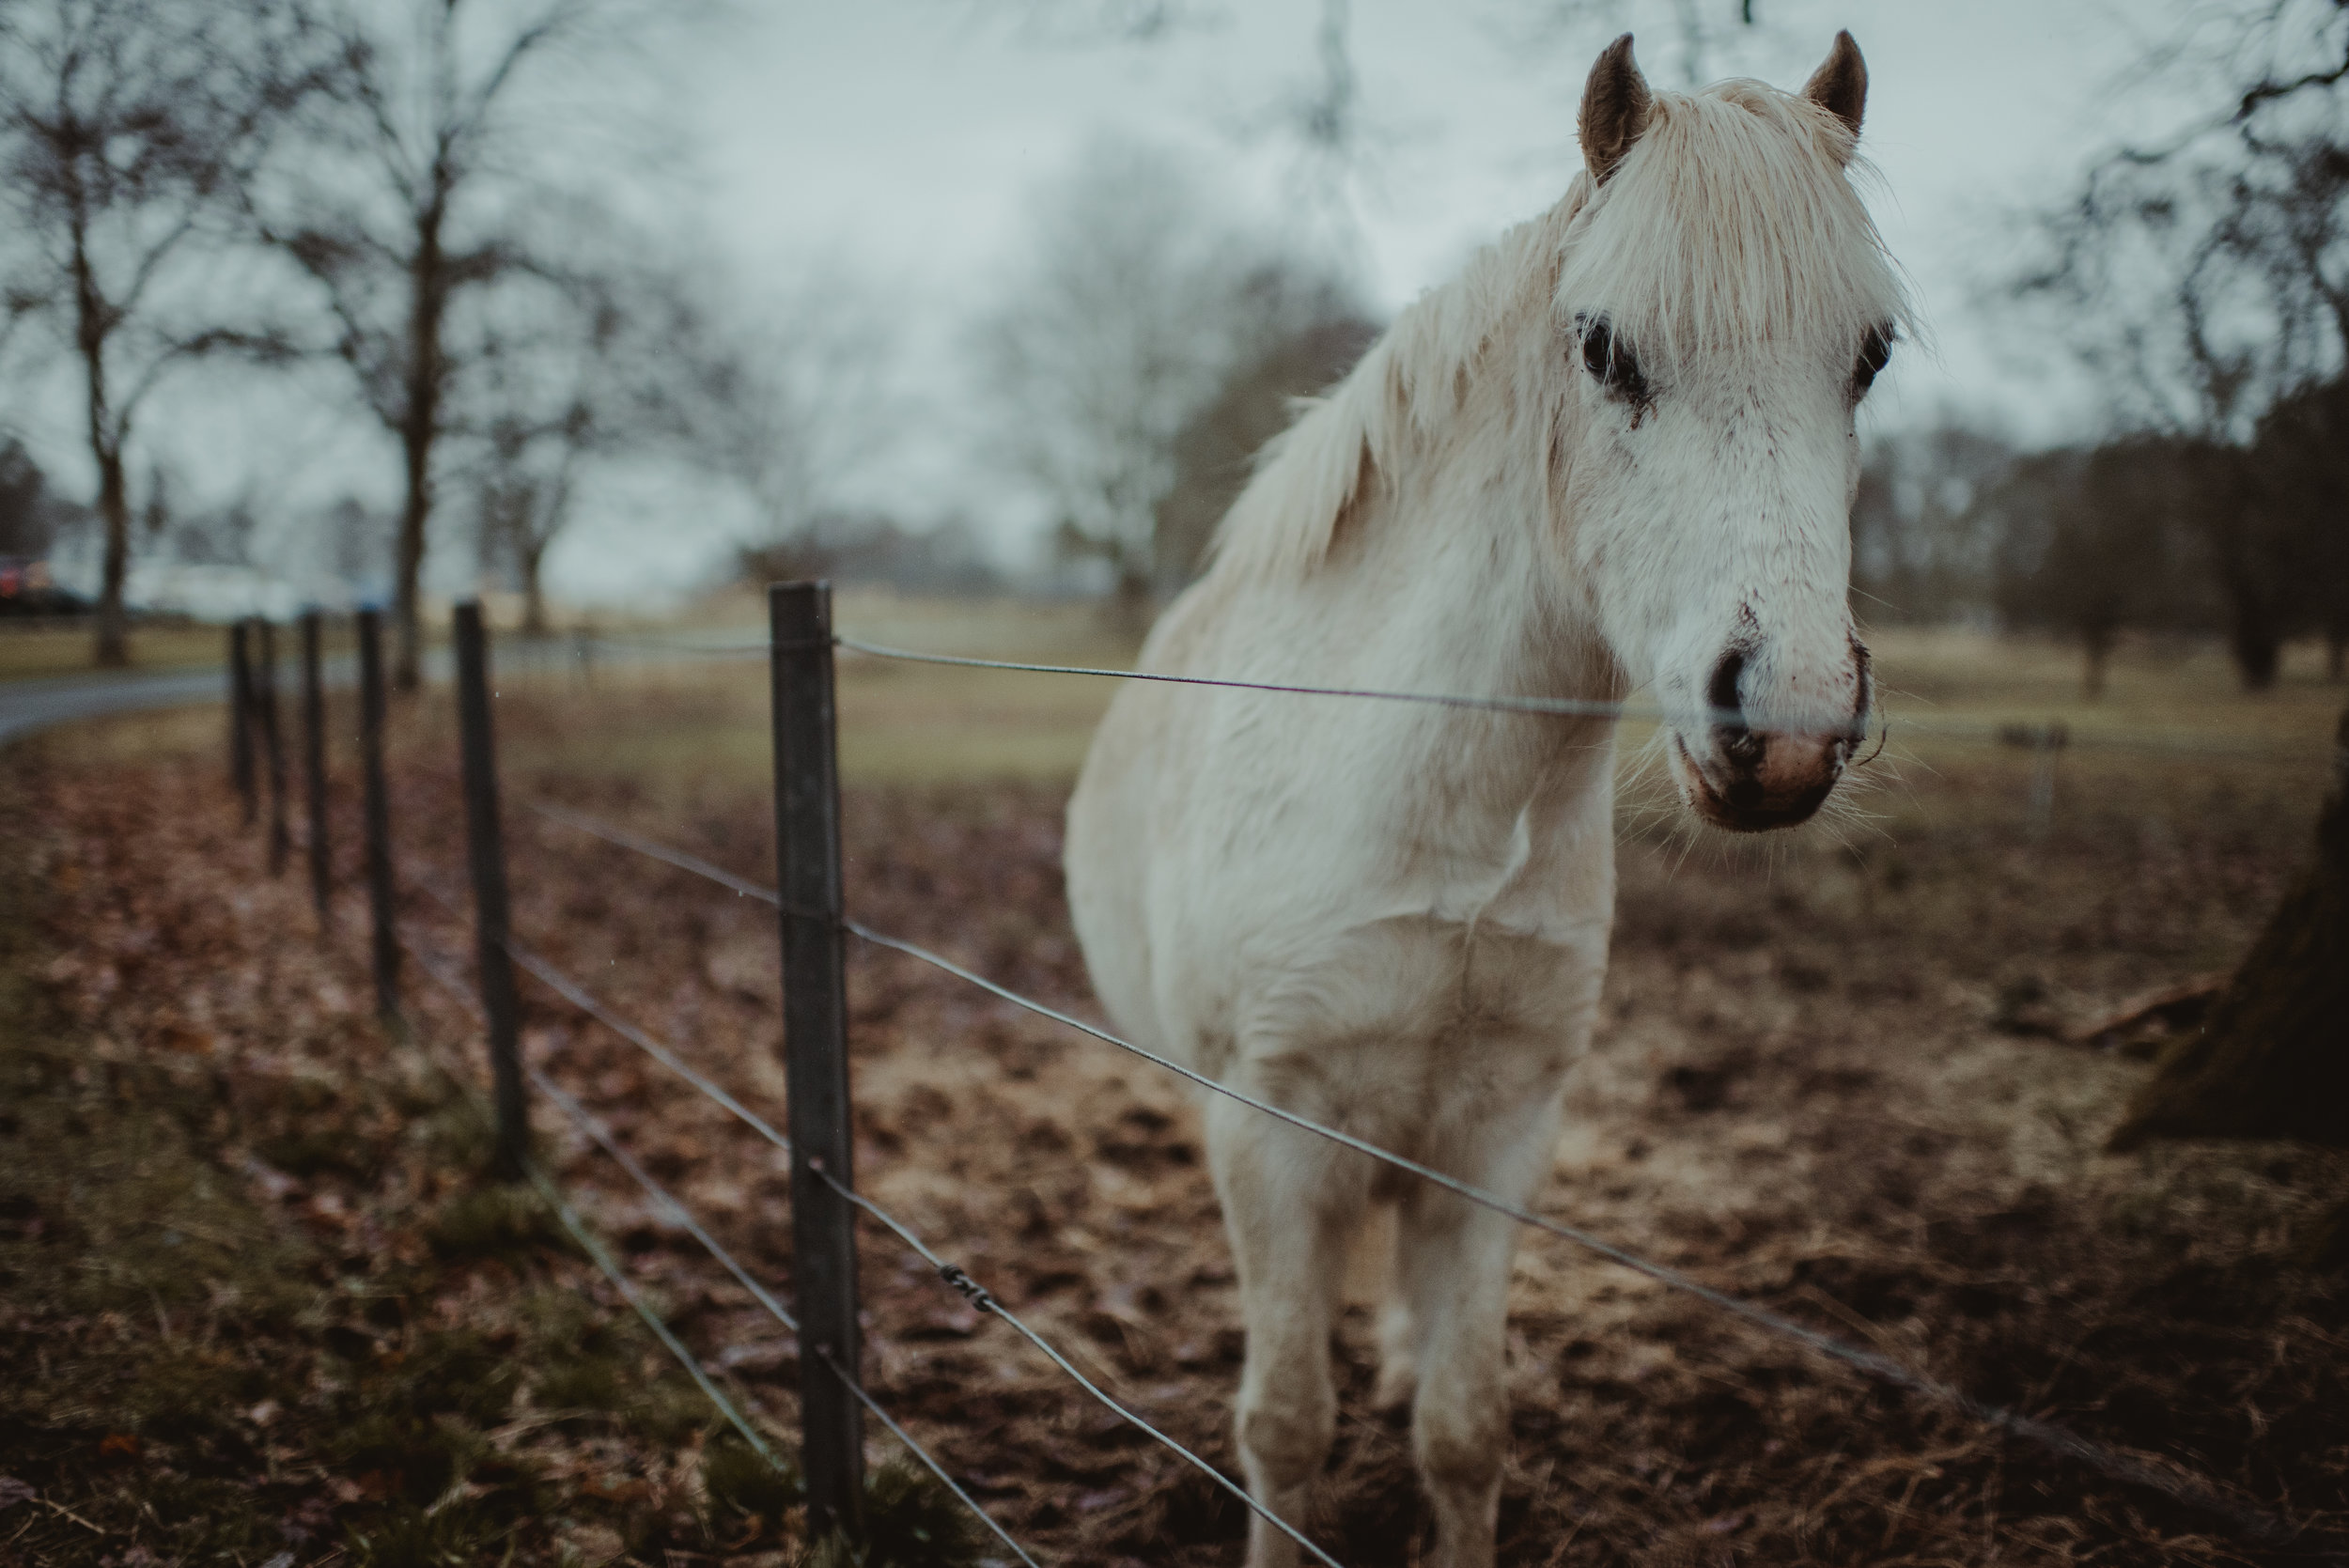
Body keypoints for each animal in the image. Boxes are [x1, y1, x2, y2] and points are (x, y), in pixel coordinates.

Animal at [1066, 33, 1907, 1568]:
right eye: (1604, 348)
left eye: (1867, 357)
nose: (1789, 723)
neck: (1441, 805)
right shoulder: (1270, 1129)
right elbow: (1286, 1425)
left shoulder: (1502, 1128)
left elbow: (1465, 1429)